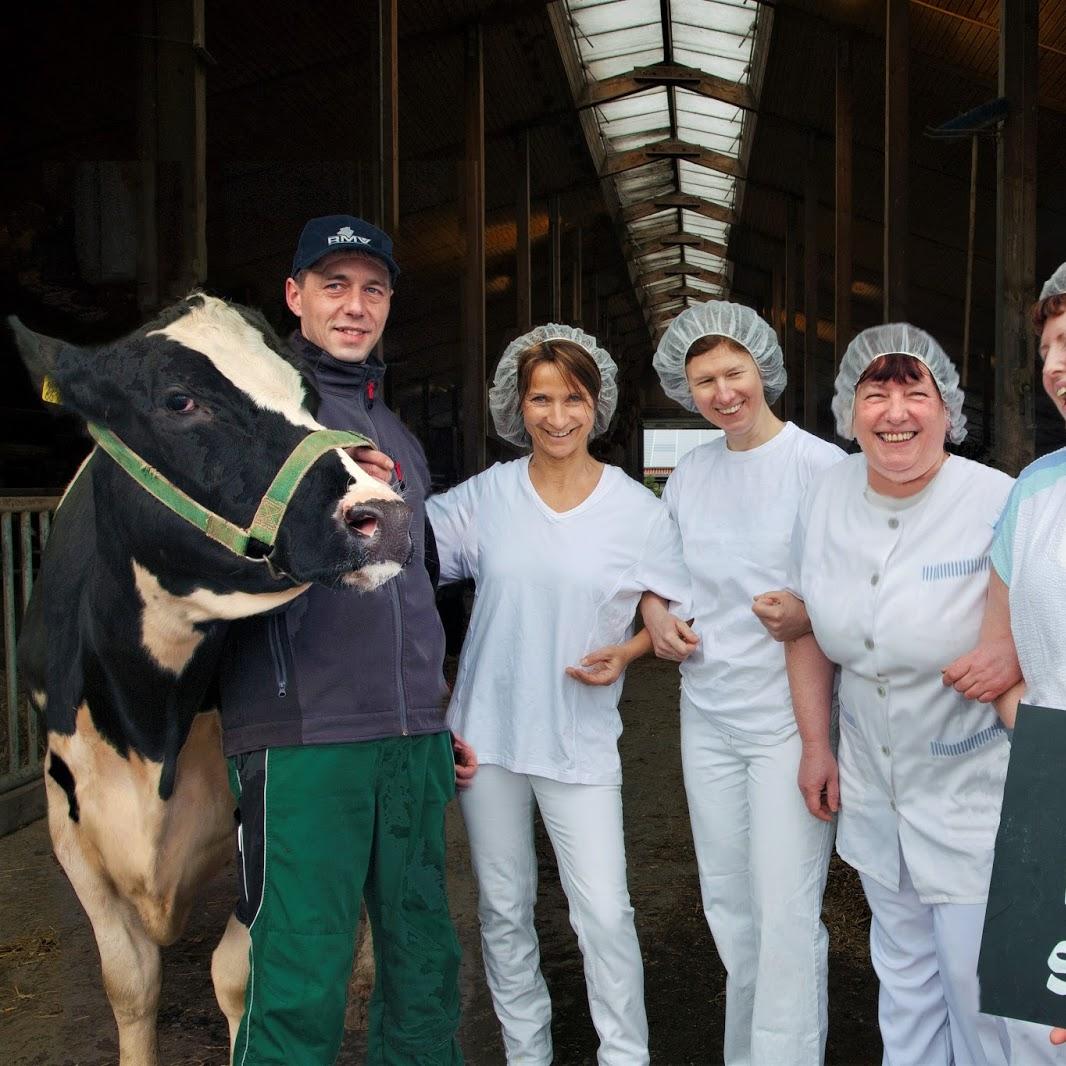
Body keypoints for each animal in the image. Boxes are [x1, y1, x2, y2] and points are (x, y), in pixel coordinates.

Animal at [13, 294, 411, 1066]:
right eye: (179, 400)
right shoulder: (67, 821)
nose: (386, 515)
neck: (146, 723)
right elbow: (129, 981)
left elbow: (236, 974)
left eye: (308, 396)